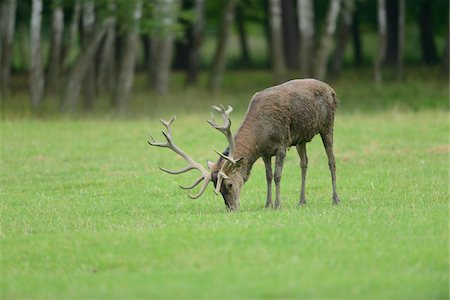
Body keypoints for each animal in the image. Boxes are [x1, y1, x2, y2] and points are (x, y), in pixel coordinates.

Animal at [149, 78, 342, 212]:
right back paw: (302, 201)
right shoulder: (265, 152)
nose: (231, 208)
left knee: (331, 160)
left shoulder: (281, 143)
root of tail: (332, 89)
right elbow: (268, 176)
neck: (263, 132)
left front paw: (277, 205)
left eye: (229, 185)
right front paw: (267, 204)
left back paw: (336, 199)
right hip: (301, 138)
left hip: (328, 124)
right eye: (216, 188)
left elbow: (277, 175)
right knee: (304, 163)